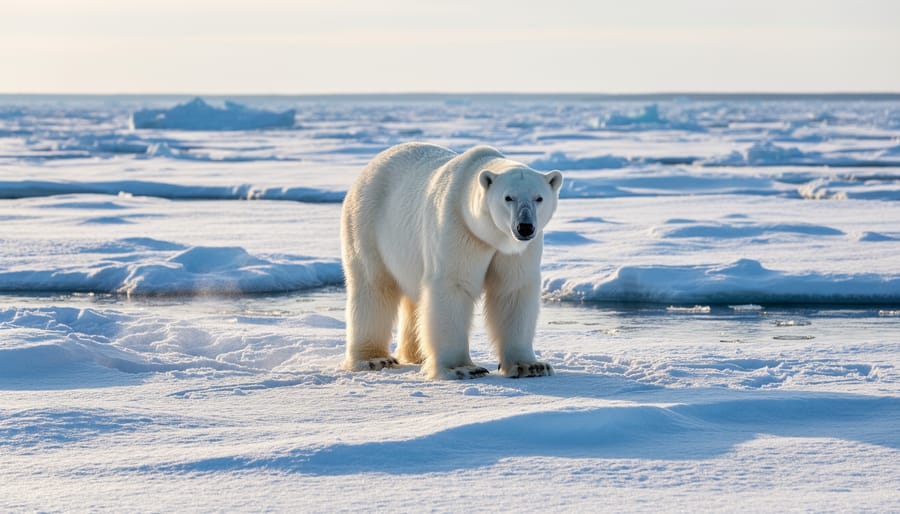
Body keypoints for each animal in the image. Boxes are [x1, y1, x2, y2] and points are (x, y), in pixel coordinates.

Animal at [340, 142, 563, 379]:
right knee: (373, 287)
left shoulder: (515, 251)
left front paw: (531, 366)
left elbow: (513, 290)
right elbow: (453, 285)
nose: (525, 227)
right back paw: (374, 359)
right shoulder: (458, 228)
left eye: (539, 198)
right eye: (508, 197)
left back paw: (416, 355)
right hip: (367, 223)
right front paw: (462, 368)